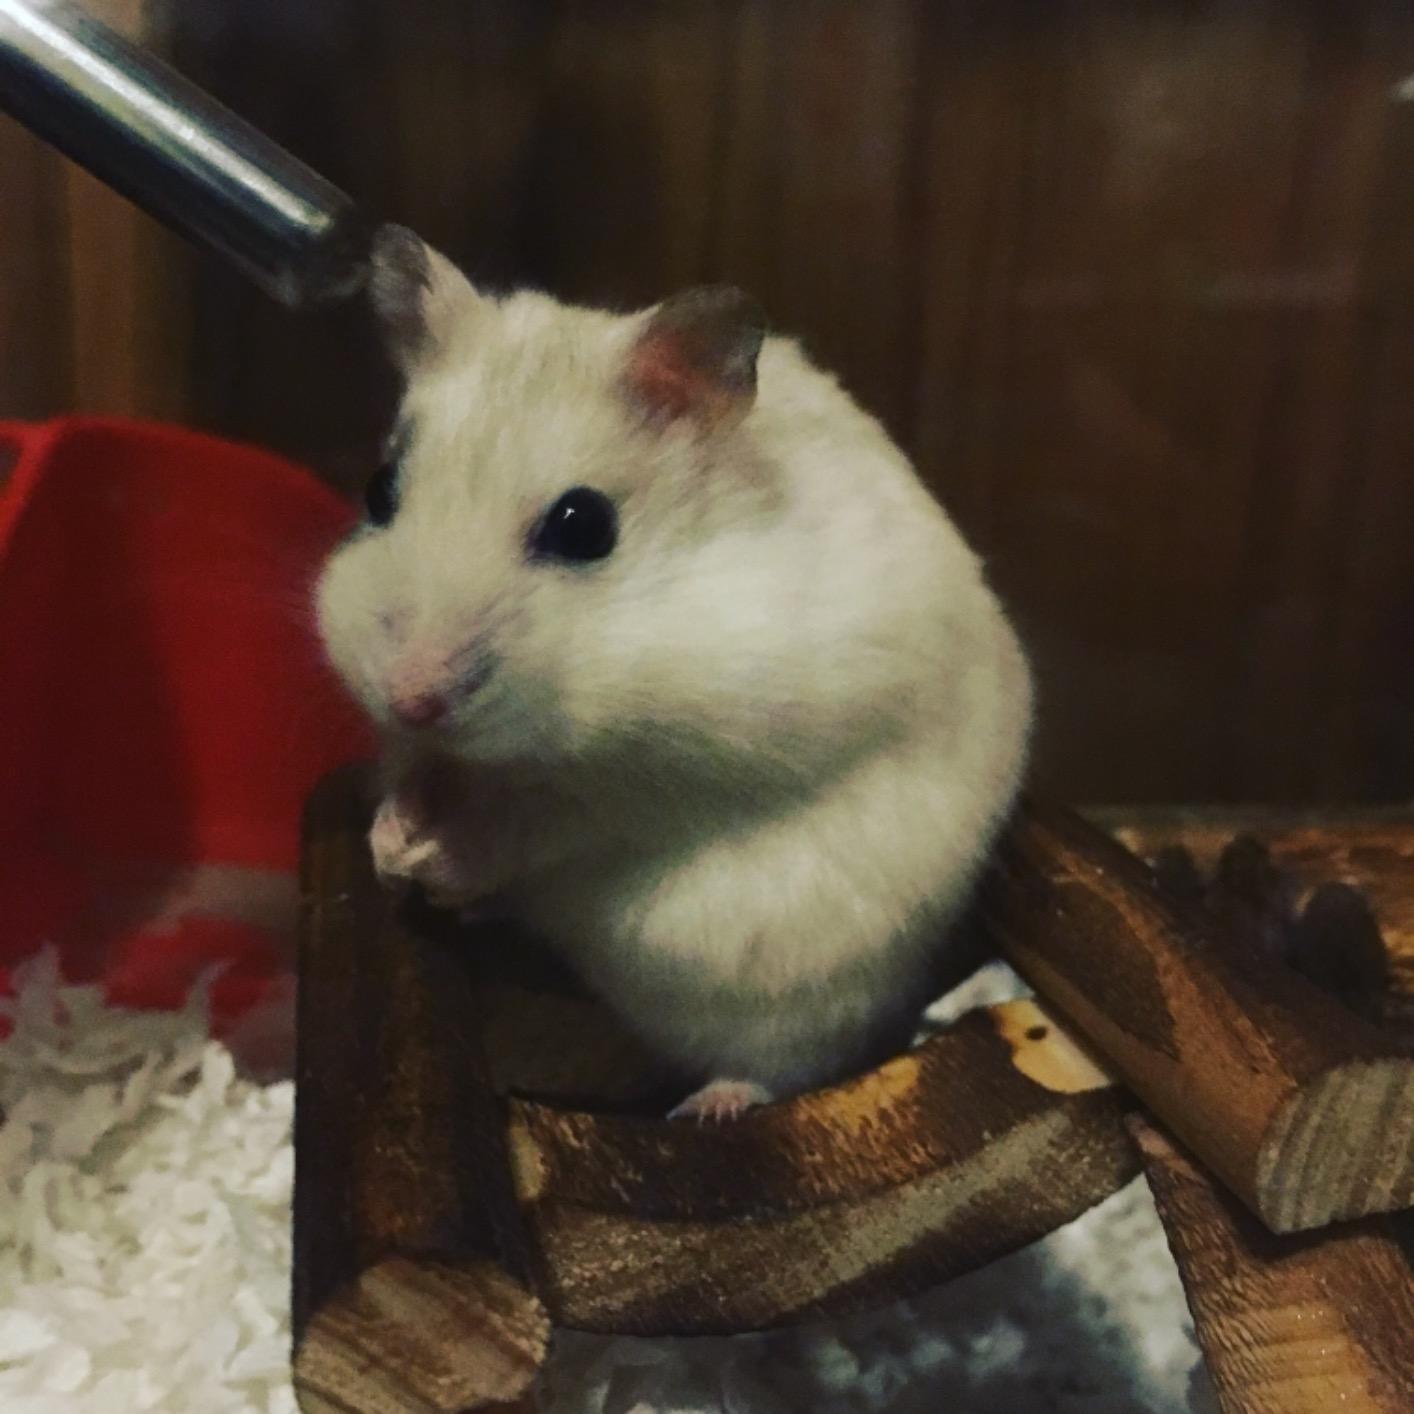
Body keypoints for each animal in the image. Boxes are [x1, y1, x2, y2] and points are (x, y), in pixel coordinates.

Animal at [315, 226, 1033, 1120]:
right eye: (378, 490)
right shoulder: (420, 749)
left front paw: (436, 861)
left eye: (584, 526)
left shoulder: (653, 782)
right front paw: (393, 850)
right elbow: (411, 778)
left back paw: (707, 1107)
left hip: (809, 992)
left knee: (783, 1061)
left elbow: (539, 824)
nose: (413, 695)